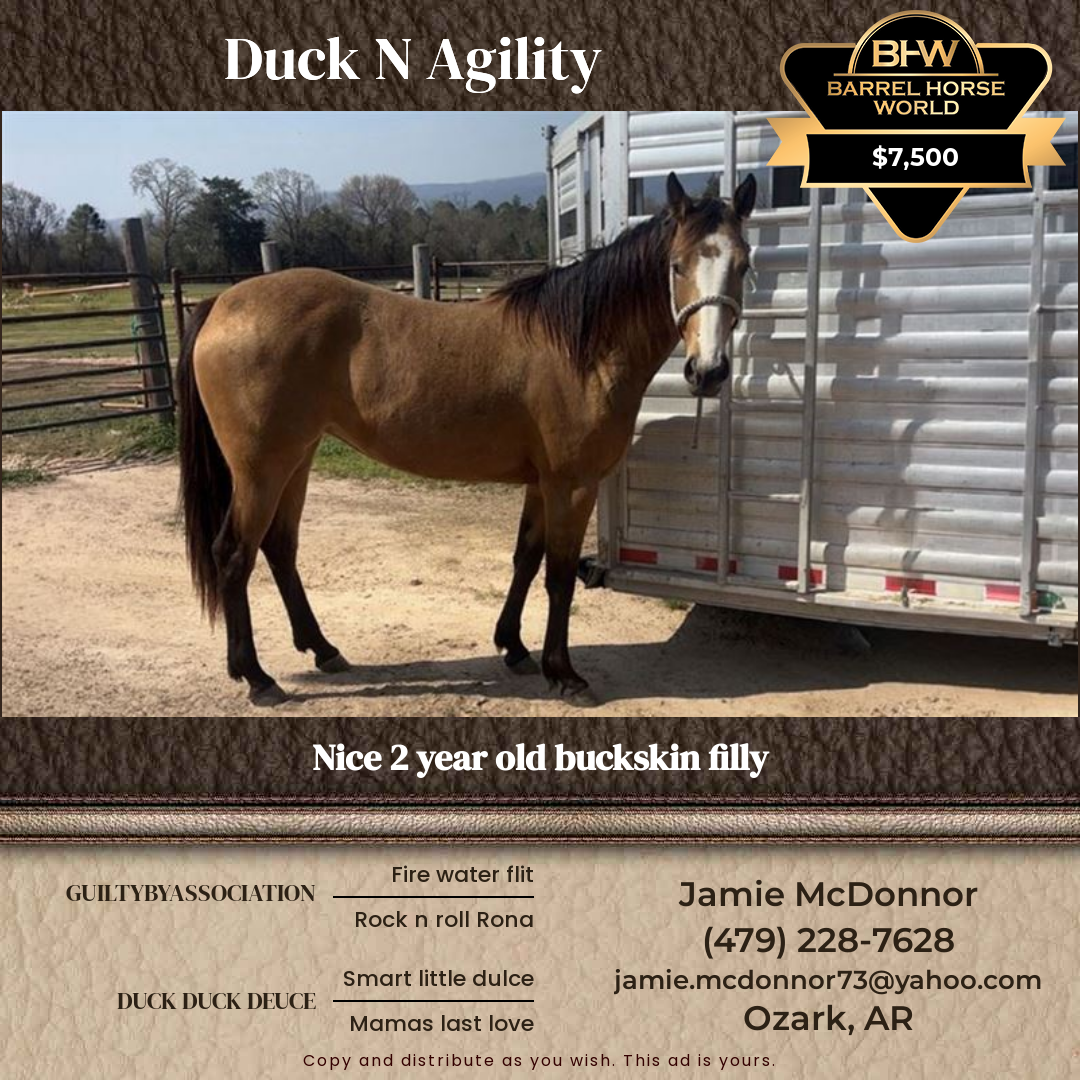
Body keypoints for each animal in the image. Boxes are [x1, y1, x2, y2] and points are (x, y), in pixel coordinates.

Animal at [176, 171, 756, 706]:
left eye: (744, 264)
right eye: (677, 265)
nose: (708, 371)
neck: (581, 349)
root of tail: (222, 303)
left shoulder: (541, 484)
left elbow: (526, 558)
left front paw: (515, 648)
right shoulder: (572, 485)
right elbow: (560, 575)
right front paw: (564, 673)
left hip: (297, 459)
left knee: (279, 547)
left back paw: (323, 649)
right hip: (260, 470)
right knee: (234, 554)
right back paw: (257, 677)